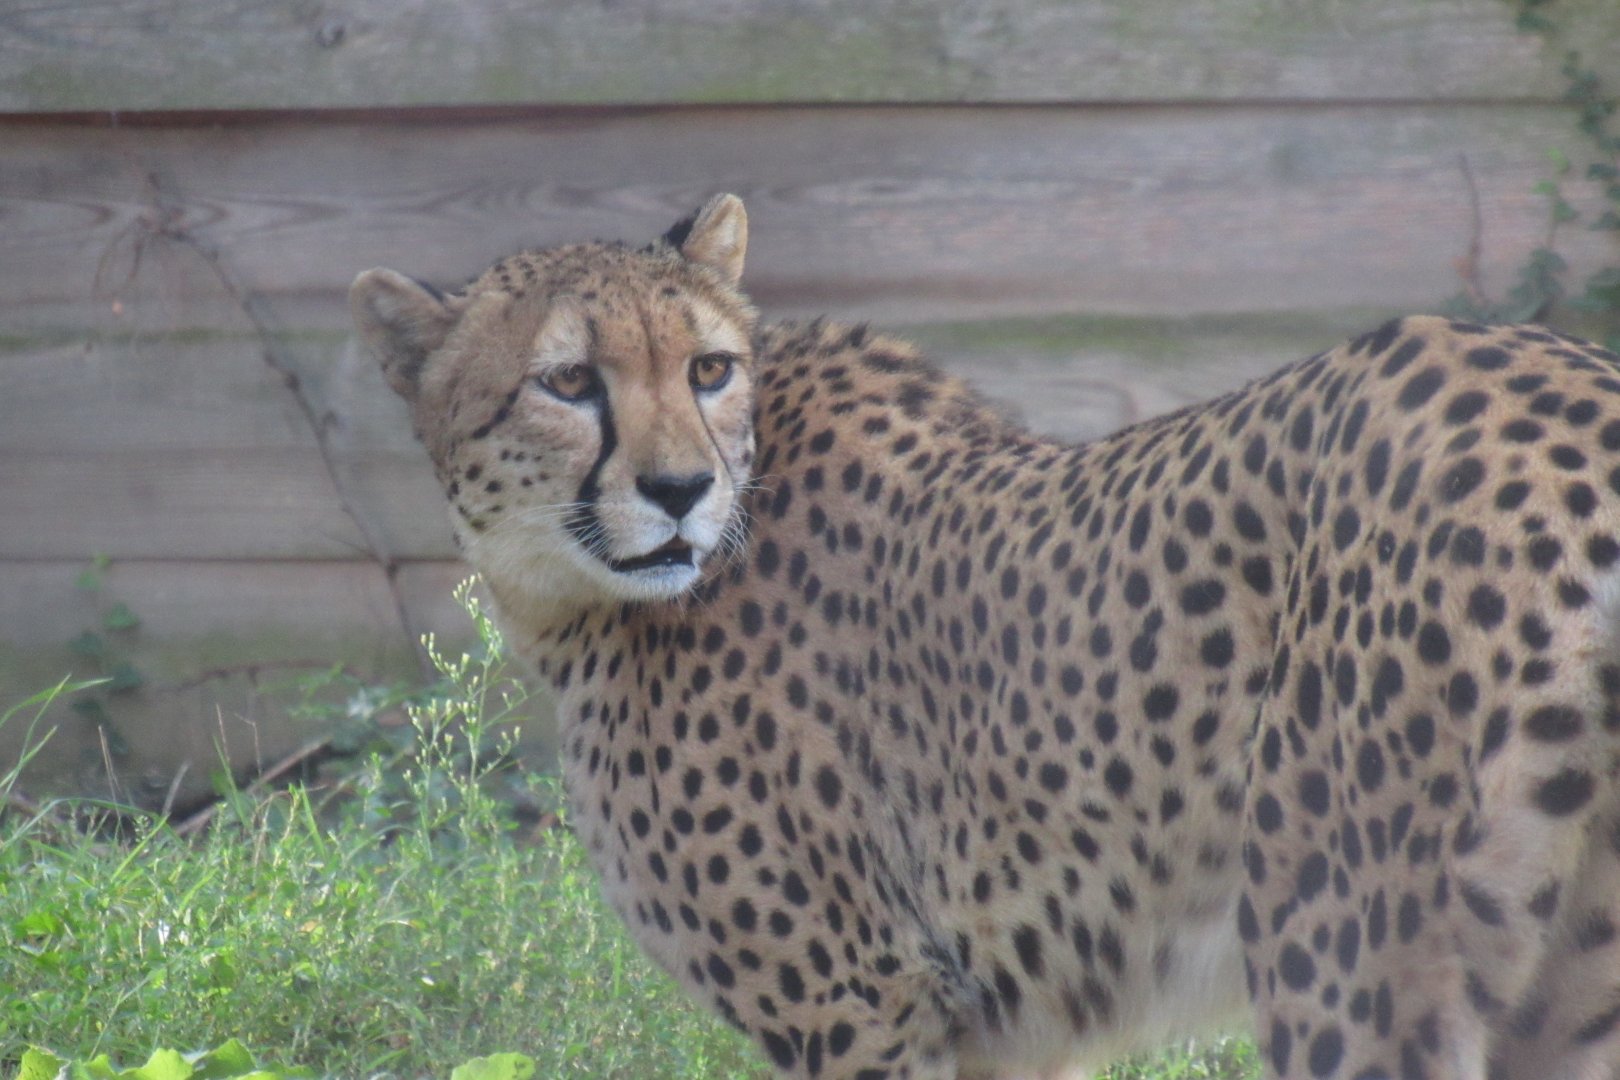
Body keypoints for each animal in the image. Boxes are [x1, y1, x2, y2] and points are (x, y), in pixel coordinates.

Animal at [350, 194, 1620, 1080]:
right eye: (568, 380)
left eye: (708, 367)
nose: (677, 491)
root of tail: (1570, 378)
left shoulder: (860, 1001)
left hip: (1347, 959)